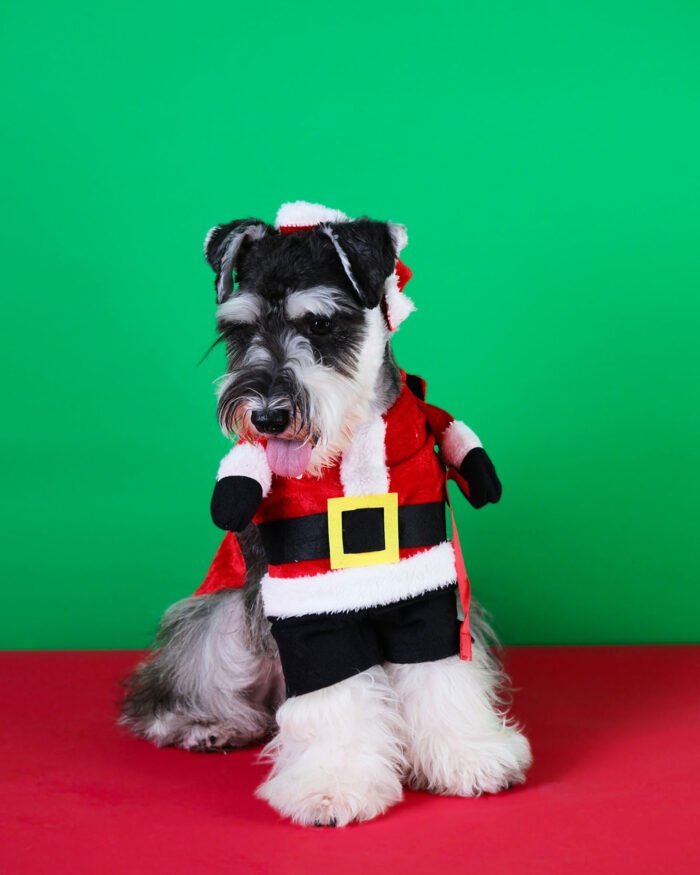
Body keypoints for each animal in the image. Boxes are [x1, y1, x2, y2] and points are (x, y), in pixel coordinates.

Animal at [123, 198, 532, 828]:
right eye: (238, 330)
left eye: (319, 325)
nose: (267, 415)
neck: (351, 445)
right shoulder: (309, 600)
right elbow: (331, 690)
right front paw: (332, 786)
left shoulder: (428, 584)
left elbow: (439, 673)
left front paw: (470, 755)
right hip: (221, 617)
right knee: (179, 680)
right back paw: (203, 722)